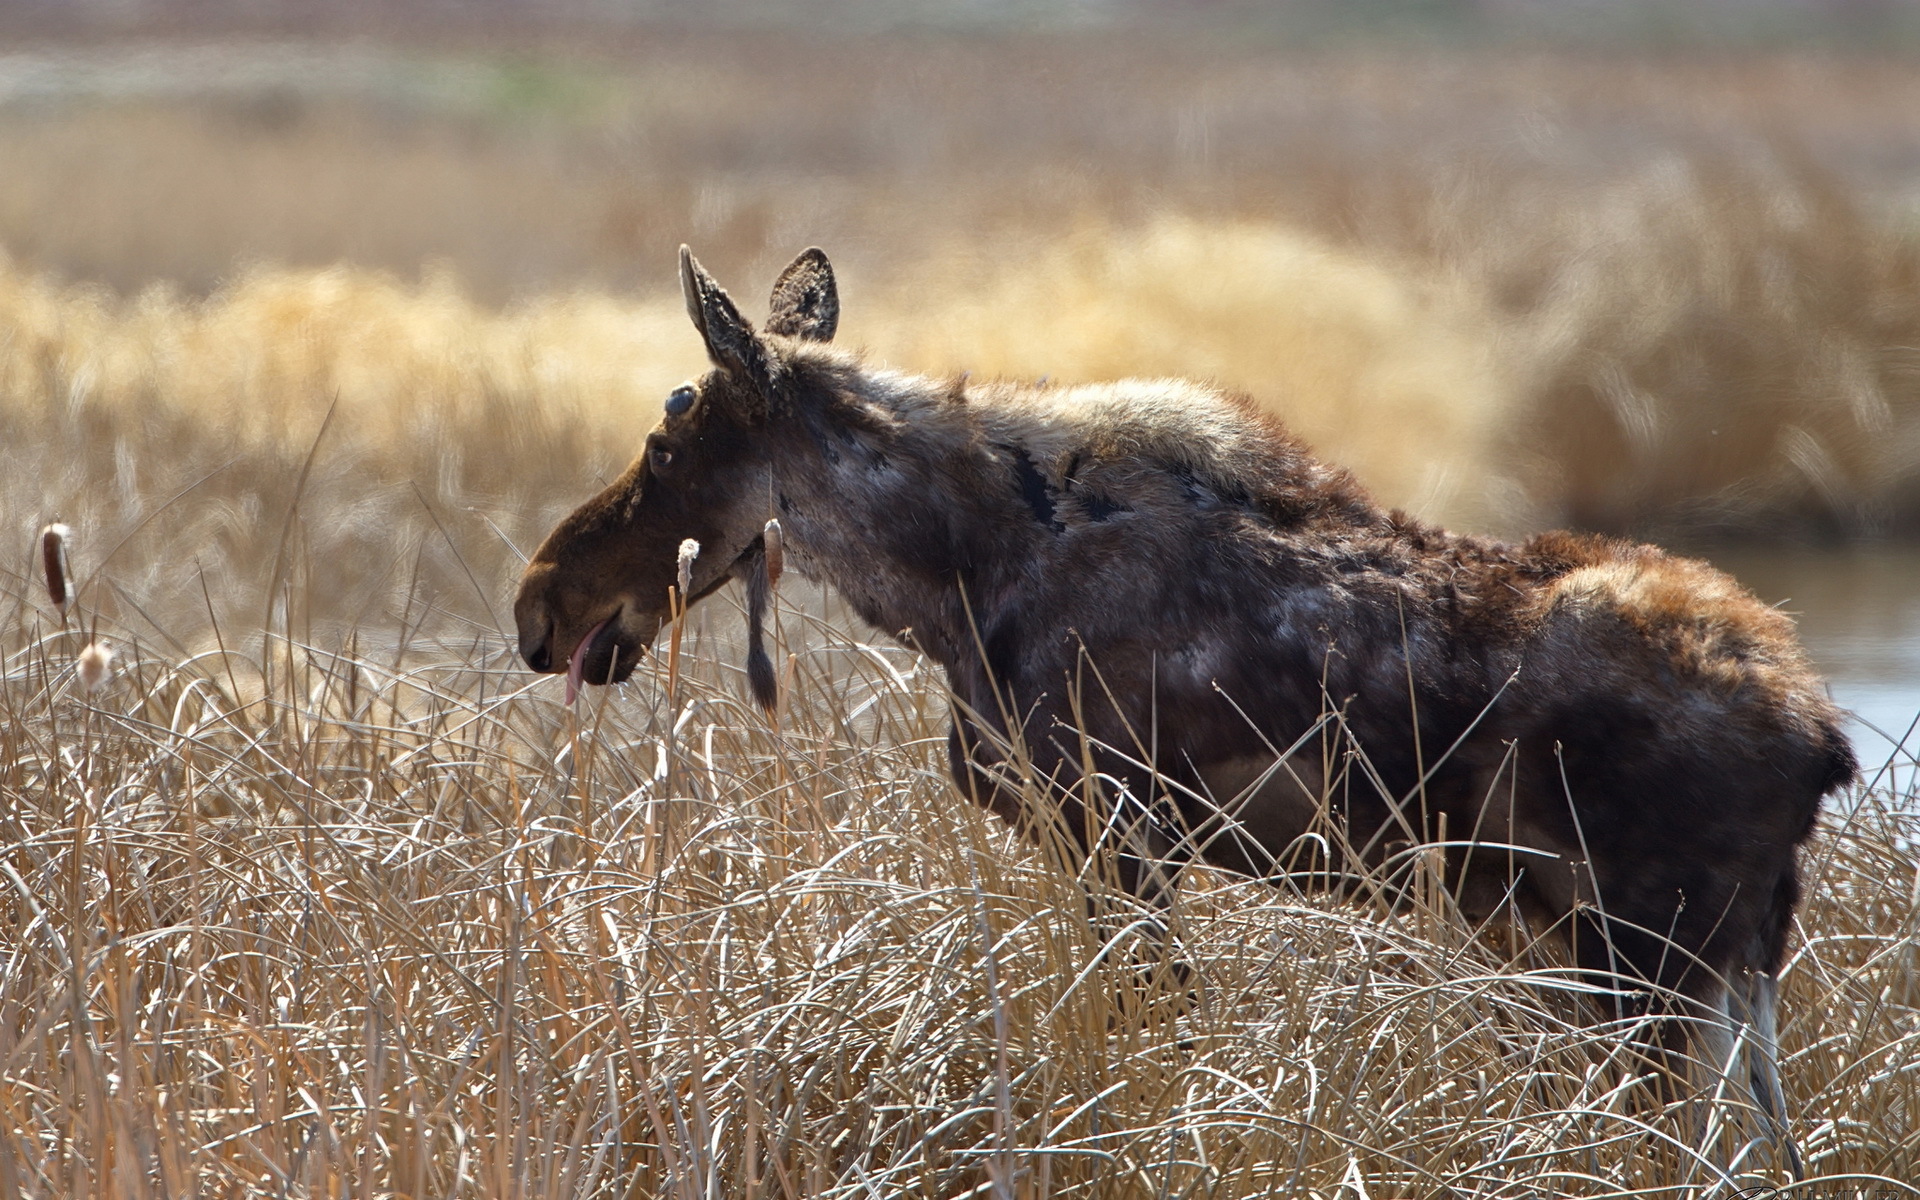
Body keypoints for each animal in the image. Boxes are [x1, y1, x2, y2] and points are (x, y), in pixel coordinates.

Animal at [514, 243, 1858, 1167]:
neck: (954, 576)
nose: (539, 603)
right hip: (1720, 973)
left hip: (1648, 966)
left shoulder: (1119, 835)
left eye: (664, 447)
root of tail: (1822, 739)